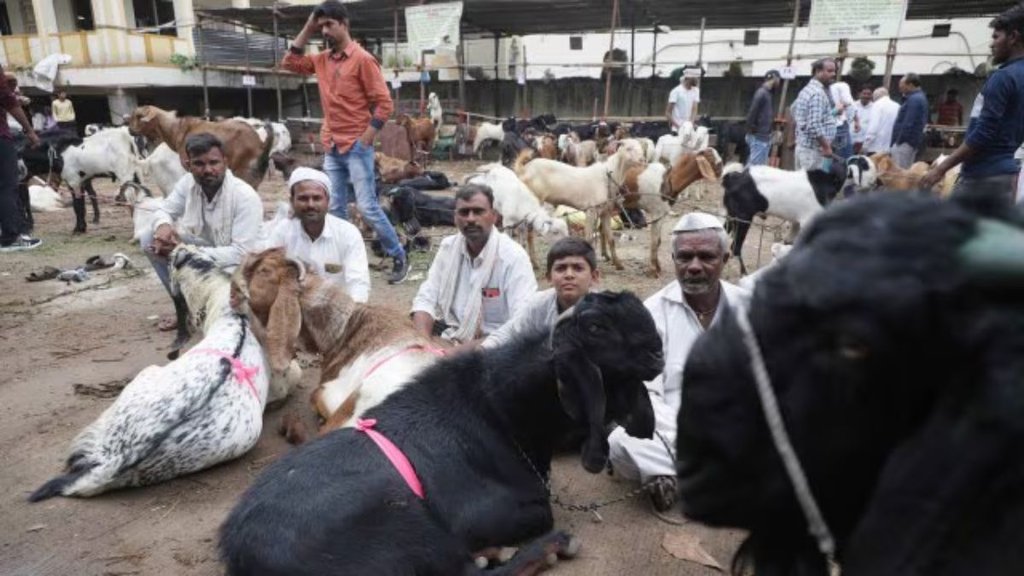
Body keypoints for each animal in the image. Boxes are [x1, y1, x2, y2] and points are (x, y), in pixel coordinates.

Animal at [219, 291, 664, 575]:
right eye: (597, 327)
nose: (659, 352)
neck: (501, 411)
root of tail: (242, 549)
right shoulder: (474, 515)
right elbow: (542, 511)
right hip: (408, 529)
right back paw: (542, 548)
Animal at [515, 140, 645, 270]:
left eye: (640, 147)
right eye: (629, 148)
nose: (642, 159)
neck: (608, 175)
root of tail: (524, 169)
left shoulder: (606, 212)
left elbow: (611, 239)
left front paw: (618, 264)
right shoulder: (591, 210)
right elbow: (589, 239)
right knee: (529, 233)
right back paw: (534, 263)